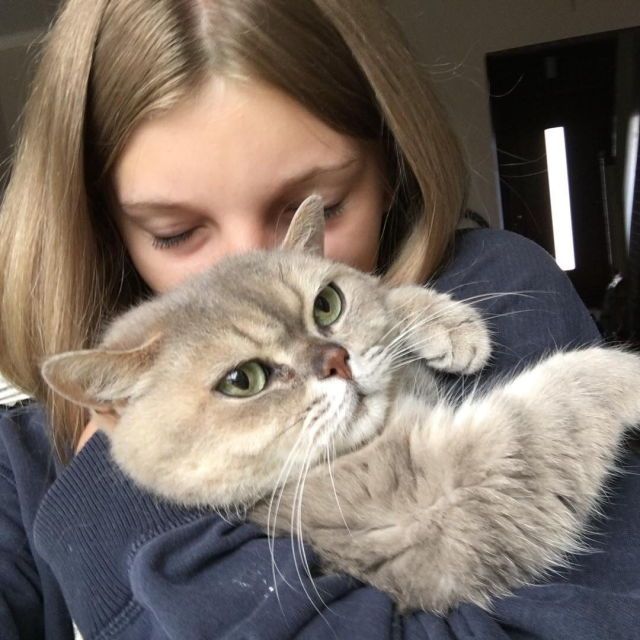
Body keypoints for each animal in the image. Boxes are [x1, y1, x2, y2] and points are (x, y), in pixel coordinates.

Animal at [42, 196, 640, 616]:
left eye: (327, 305)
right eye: (242, 380)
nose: (337, 361)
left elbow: (383, 292)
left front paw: (445, 324)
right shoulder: (450, 498)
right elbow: (569, 390)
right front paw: (628, 375)